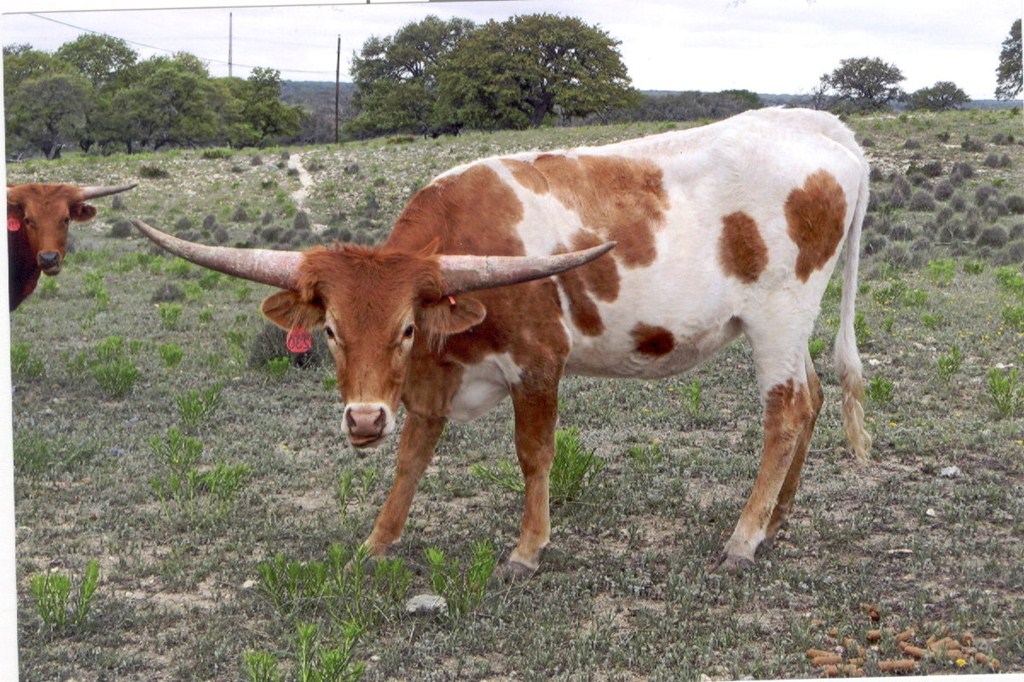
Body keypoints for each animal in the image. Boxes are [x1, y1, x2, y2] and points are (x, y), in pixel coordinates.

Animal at [131, 107, 871, 575]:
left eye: (405, 328)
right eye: (333, 331)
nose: (363, 420)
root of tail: (820, 128)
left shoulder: (538, 365)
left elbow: (534, 456)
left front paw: (527, 550)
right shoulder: (431, 384)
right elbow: (411, 459)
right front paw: (377, 542)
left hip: (779, 316)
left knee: (786, 412)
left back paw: (745, 537)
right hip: (788, 327)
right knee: (811, 397)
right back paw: (776, 521)